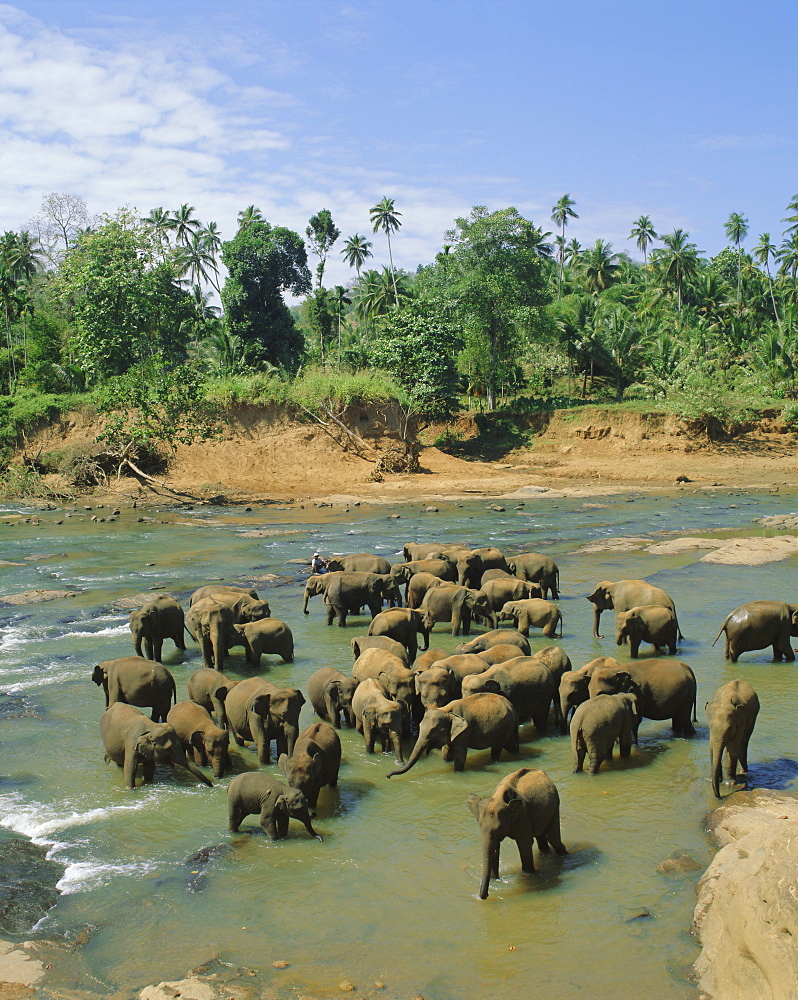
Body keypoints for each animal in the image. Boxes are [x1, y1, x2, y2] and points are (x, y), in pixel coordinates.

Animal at [386, 692, 520, 776]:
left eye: (434, 731)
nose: (387, 775)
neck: (446, 710)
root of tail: (511, 705)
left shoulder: (464, 731)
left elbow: (460, 755)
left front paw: (457, 773)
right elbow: (446, 751)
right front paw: (446, 762)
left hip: (505, 726)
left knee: (497, 748)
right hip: (508, 726)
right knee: (510, 745)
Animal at [468, 764, 568, 900]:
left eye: (500, 828)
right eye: (479, 826)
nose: (484, 896)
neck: (499, 797)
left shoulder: (523, 815)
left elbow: (525, 844)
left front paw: (529, 875)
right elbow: (495, 848)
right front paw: (495, 880)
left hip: (555, 804)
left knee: (554, 839)